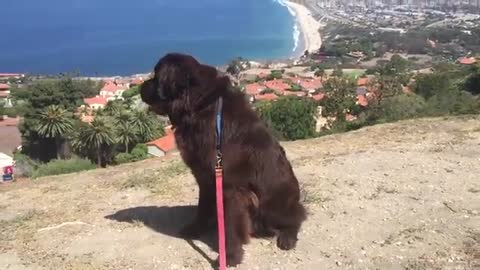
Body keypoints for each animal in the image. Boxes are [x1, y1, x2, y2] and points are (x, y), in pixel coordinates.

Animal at [142, 52, 308, 266]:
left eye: (156, 77)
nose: (140, 87)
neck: (199, 106)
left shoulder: (230, 187)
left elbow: (229, 225)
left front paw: (230, 255)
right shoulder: (206, 177)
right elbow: (203, 207)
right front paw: (196, 229)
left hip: (274, 204)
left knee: (297, 217)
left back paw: (287, 237)